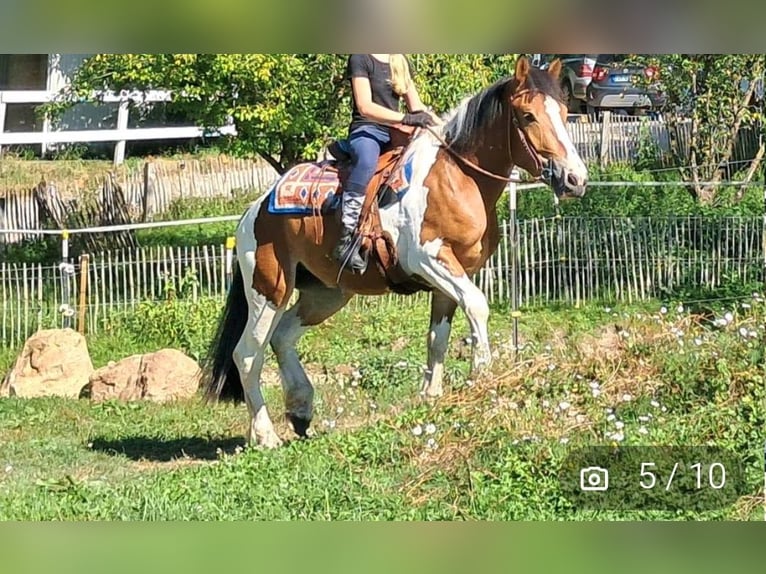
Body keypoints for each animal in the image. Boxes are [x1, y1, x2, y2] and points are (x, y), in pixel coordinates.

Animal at [201, 56, 589, 448]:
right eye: (528, 116)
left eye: (564, 111)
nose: (575, 179)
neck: (456, 177)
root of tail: (254, 211)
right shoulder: (428, 259)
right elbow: (478, 305)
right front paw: (483, 374)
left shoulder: (451, 277)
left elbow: (438, 337)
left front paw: (431, 397)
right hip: (269, 289)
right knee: (247, 354)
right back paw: (265, 435)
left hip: (326, 293)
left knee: (282, 338)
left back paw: (300, 409)